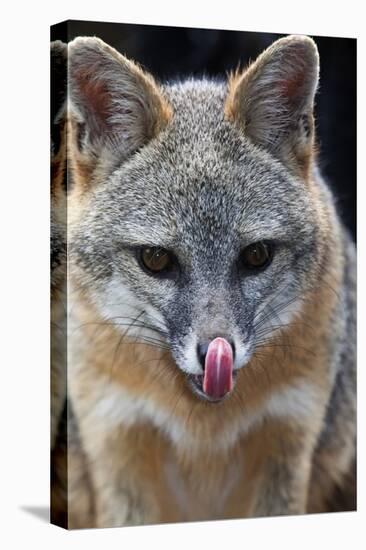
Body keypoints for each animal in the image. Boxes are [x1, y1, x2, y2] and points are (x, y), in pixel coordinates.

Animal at [59, 31, 354, 532]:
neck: (203, 430)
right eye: (156, 260)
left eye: (256, 256)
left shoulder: (287, 441)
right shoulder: (116, 443)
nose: (217, 352)